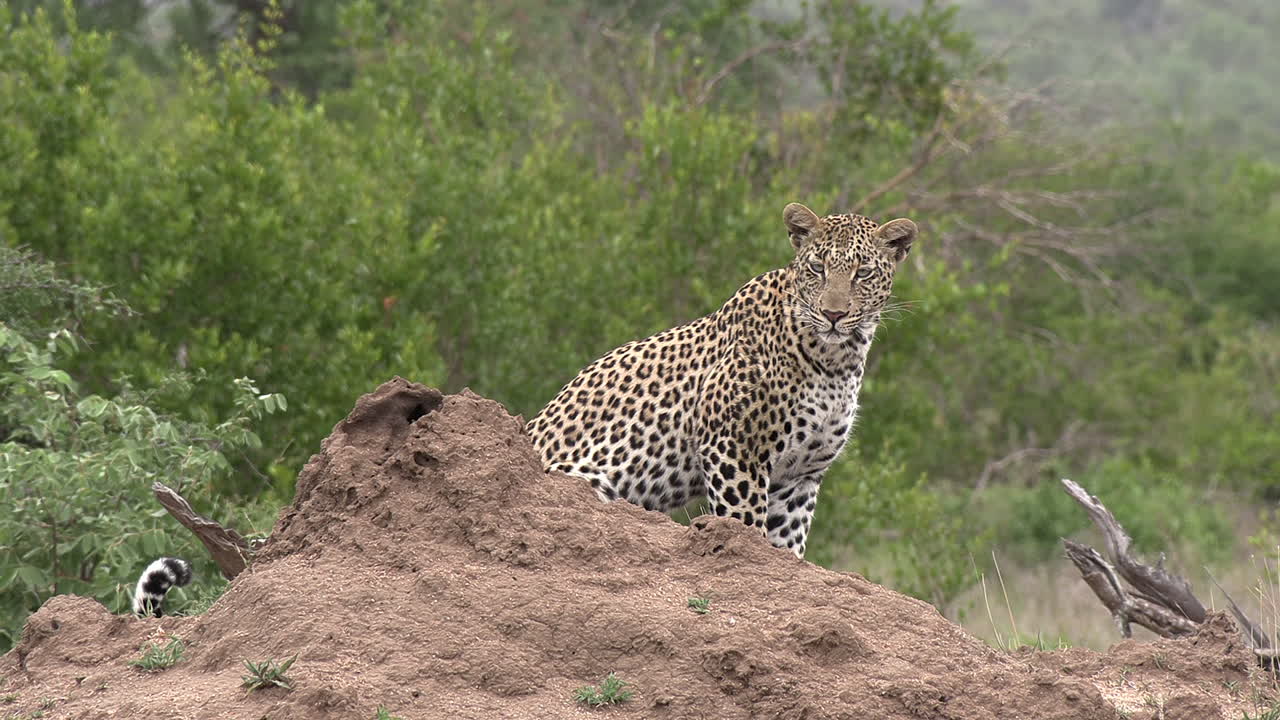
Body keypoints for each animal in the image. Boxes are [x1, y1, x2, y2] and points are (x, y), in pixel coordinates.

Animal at [526, 202, 918, 558]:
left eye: (862, 273)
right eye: (817, 268)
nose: (833, 314)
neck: (836, 360)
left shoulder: (799, 477)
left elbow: (788, 544)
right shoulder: (733, 447)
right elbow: (745, 524)